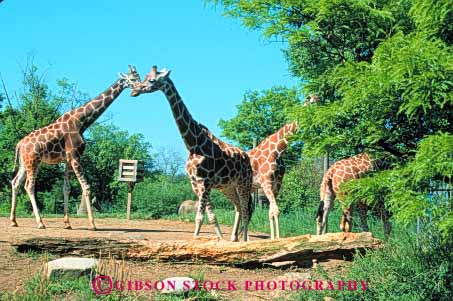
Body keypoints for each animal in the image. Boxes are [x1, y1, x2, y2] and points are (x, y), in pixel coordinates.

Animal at [10, 66, 141, 230]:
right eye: (133, 79)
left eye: (139, 76)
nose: (140, 87)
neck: (81, 122)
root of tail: (20, 144)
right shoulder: (75, 156)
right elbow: (86, 187)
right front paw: (92, 224)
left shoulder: (67, 159)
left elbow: (66, 189)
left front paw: (67, 223)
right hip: (33, 161)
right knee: (29, 186)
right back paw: (40, 222)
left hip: (24, 162)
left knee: (15, 182)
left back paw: (13, 221)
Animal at [130, 66, 254, 241]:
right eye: (145, 76)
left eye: (152, 80)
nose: (134, 91)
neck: (192, 145)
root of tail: (247, 158)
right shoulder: (195, 183)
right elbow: (211, 216)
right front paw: (217, 239)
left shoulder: (205, 182)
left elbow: (200, 217)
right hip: (228, 186)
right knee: (238, 207)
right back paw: (233, 239)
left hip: (244, 183)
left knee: (245, 209)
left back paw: (244, 240)